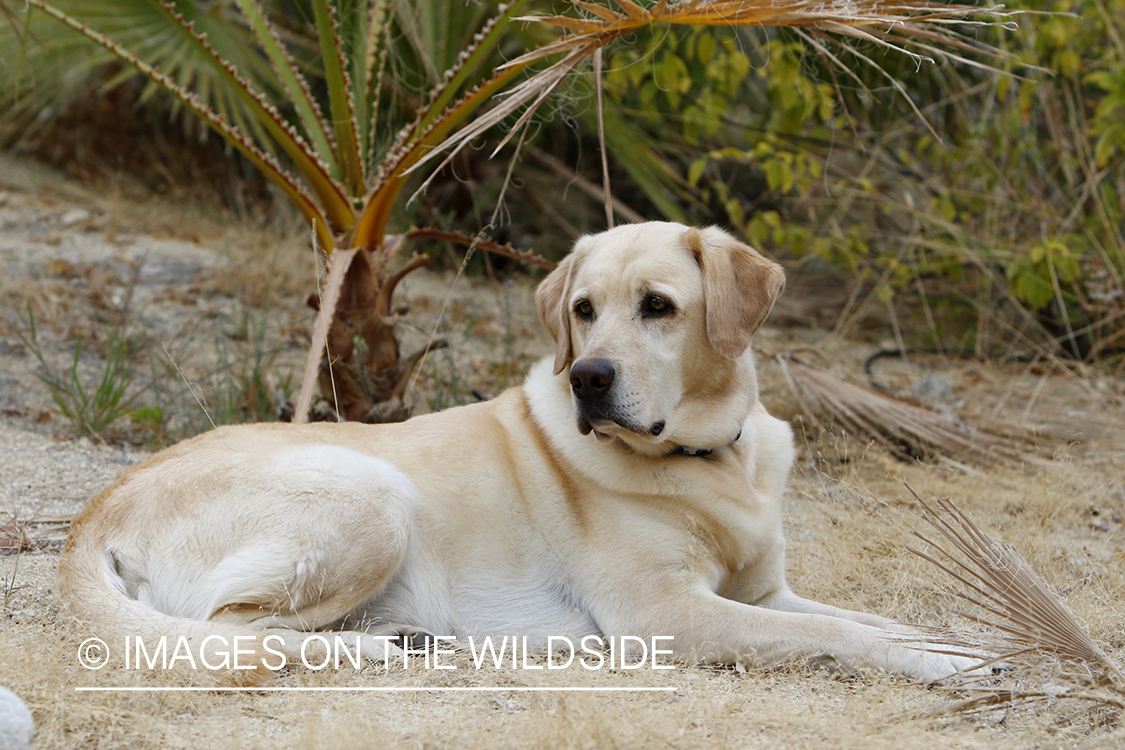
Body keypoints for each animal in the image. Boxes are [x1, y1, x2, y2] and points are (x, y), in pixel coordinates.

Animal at [57, 222, 976, 688]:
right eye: (582, 308)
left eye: (657, 306)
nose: (588, 378)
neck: (712, 457)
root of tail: (99, 505)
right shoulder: (664, 614)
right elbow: (842, 634)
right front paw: (934, 662)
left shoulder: (766, 593)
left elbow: (866, 618)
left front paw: (962, 642)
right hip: (370, 496)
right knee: (226, 636)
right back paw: (376, 648)